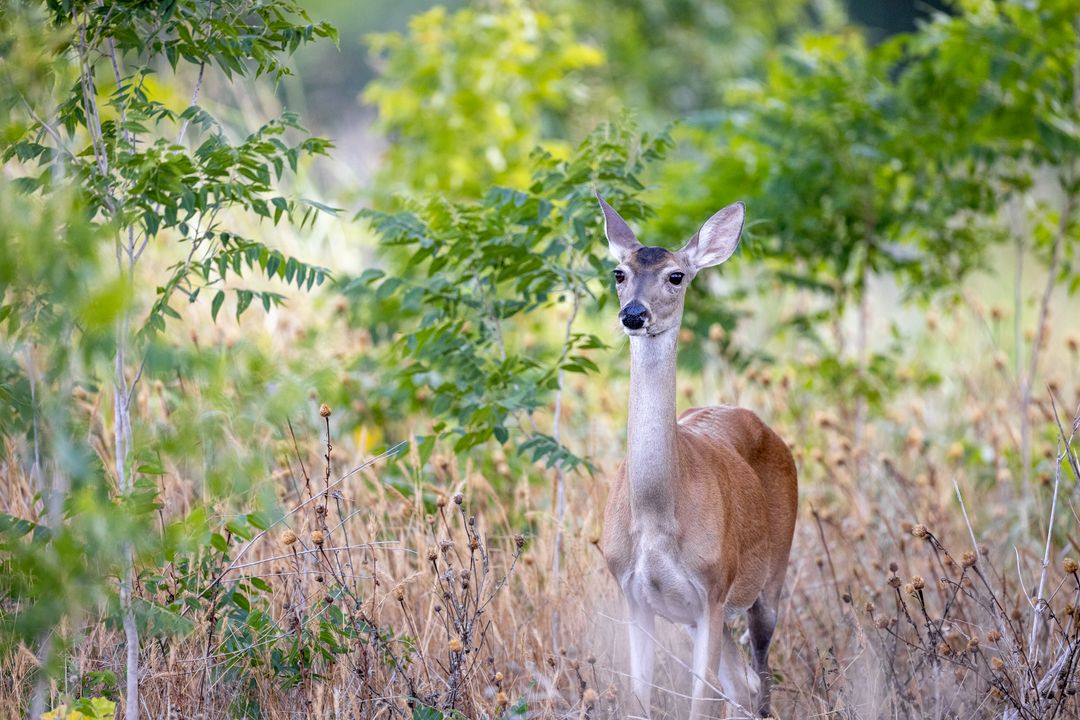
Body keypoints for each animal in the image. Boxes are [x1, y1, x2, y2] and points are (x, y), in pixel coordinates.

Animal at [596, 193, 798, 719]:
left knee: (761, 680)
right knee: (741, 685)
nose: (634, 315)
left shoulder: (712, 585)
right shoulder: (633, 593)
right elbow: (639, 697)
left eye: (676, 275)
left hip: (769, 577)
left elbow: (699, 701)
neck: (656, 517)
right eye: (618, 272)